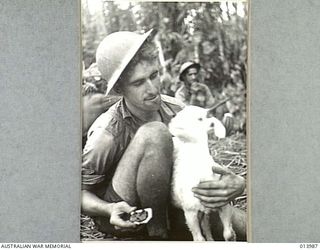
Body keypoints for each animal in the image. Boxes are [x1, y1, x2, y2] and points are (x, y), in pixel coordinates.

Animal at [170, 105, 235, 240]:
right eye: (199, 119)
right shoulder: (190, 212)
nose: (212, 123)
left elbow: (228, 234)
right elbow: (199, 239)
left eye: (205, 117)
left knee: (206, 224)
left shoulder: (224, 204)